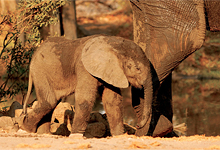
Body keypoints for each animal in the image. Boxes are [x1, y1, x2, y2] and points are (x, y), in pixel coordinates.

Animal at [16, 34, 156, 135]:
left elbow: (112, 100)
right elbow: (85, 98)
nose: (137, 125)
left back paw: (43, 133)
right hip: (41, 72)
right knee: (49, 102)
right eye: (137, 68)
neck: (113, 42)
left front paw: (119, 135)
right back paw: (25, 127)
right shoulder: (84, 67)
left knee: (51, 103)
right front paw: (76, 135)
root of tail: (33, 55)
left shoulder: (111, 71)